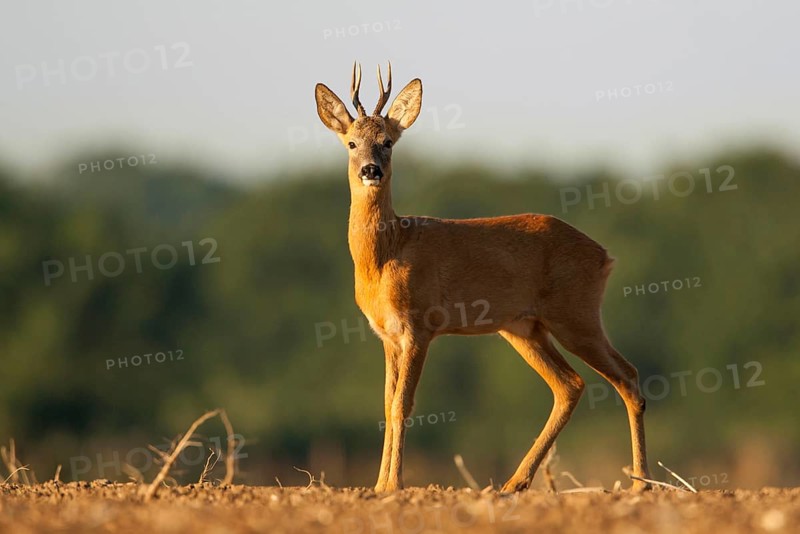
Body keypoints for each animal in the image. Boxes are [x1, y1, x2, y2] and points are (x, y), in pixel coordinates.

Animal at [314, 62, 651, 493]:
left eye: (387, 142)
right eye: (352, 143)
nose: (371, 170)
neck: (388, 252)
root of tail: (604, 255)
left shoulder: (419, 327)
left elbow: (403, 404)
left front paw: (395, 485)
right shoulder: (387, 336)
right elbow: (387, 404)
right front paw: (378, 485)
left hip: (576, 315)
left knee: (627, 377)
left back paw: (641, 483)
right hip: (523, 328)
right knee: (570, 385)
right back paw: (515, 483)